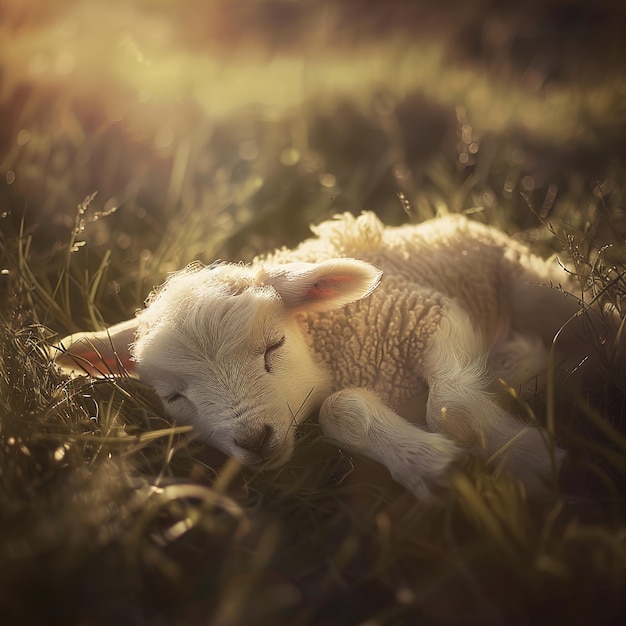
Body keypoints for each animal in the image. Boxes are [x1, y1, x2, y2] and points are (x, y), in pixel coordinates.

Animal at [56, 212, 576, 500]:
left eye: (274, 347)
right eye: (174, 397)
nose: (254, 440)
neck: (331, 348)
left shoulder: (423, 313)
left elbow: (450, 406)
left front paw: (533, 460)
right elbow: (339, 409)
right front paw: (428, 462)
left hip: (536, 290)